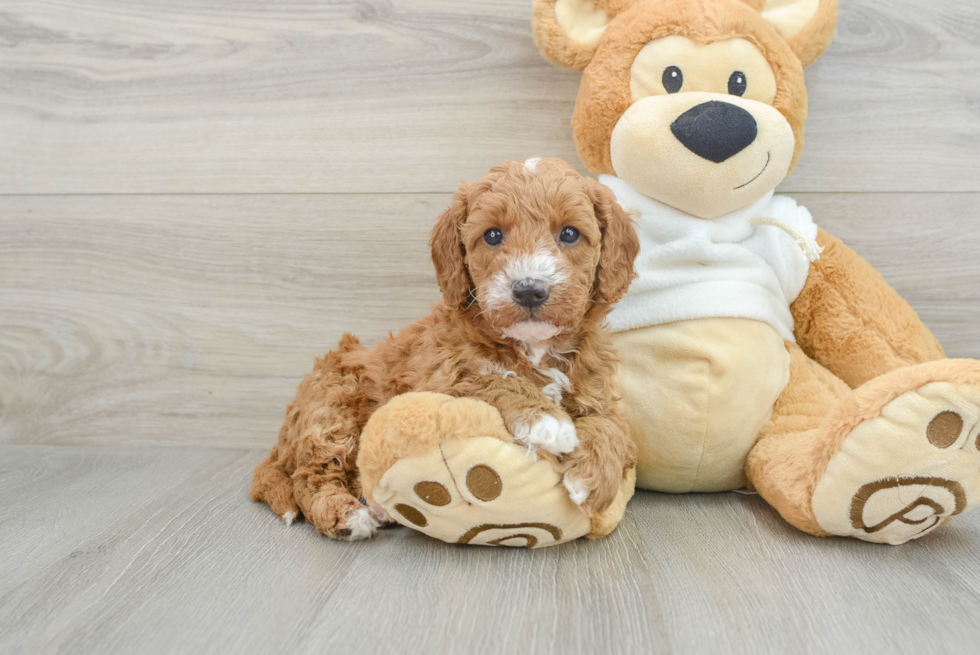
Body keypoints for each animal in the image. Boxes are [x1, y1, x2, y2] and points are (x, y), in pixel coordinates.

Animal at [249, 156, 640, 540]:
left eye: (570, 233)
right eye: (493, 235)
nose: (529, 289)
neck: (534, 346)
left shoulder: (598, 391)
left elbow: (613, 427)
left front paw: (590, 478)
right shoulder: (441, 377)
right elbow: (492, 379)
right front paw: (546, 420)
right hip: (331, 410)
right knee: (309, 476)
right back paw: (346, 514)